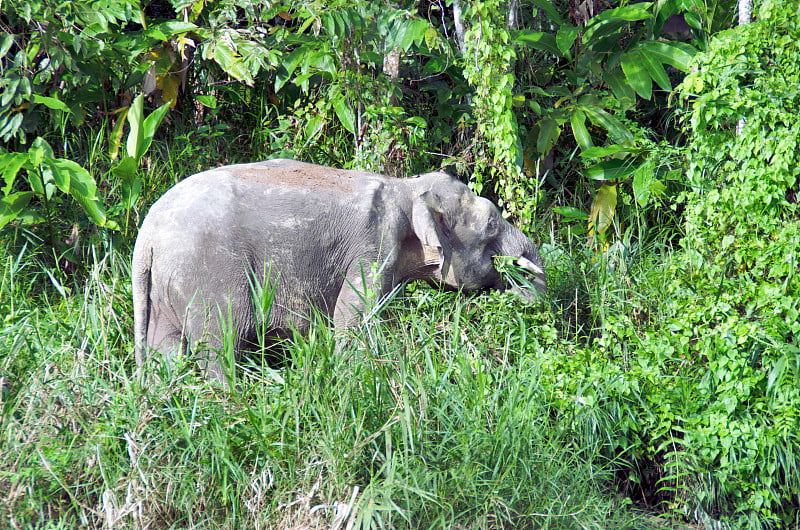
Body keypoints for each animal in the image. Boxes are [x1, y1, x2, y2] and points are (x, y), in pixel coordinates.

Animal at [131, 158, 548, 380]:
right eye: (491, 224)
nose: (522, 282)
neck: (404, 187)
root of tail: (145, 236)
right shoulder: (372, 245)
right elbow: (352, 321)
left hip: (165, 288)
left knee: (165, 352)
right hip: (209, 275)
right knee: (220, 346)